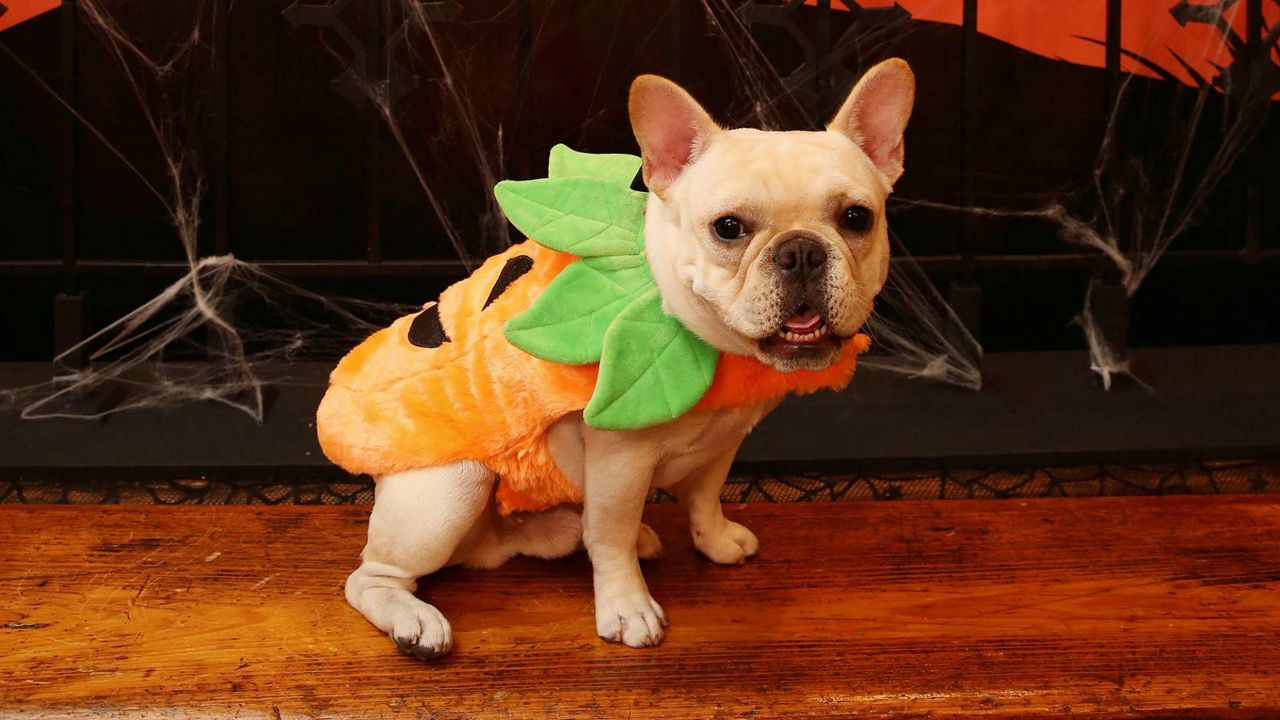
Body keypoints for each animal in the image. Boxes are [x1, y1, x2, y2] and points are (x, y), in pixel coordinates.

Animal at [345, 60, 916, 655]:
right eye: (728, 228)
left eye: (857, 218)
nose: (801, 250)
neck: (710, 343)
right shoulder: (619, 465)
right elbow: (611, 537)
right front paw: (626, 605)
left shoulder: (724, 444)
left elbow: (705, 498)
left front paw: (714, 540)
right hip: (450, 490)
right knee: (370, 577)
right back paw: (413, 621)